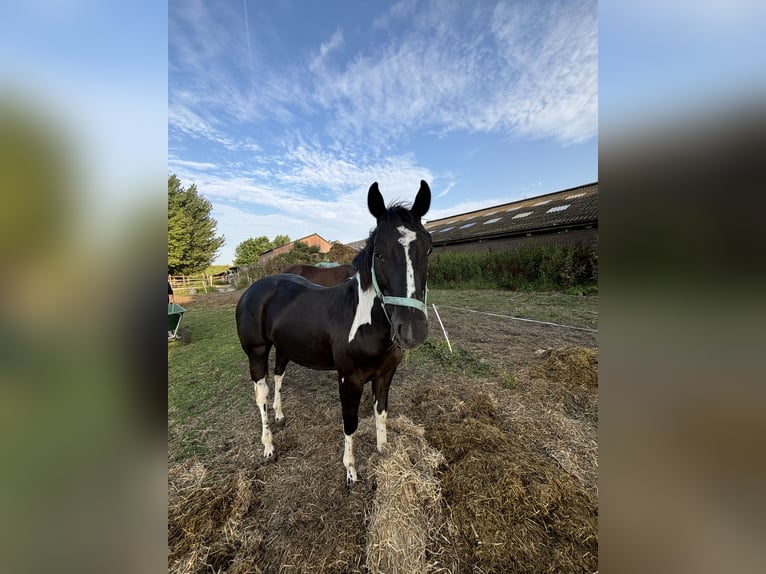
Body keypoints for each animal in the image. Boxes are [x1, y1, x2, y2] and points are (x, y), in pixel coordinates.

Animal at [236, 180, 432, 486]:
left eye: (428, 249)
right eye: (379, 253)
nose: (412, 330)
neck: (365, 322)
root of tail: (254, 288)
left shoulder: (385, 375)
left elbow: (381, 413)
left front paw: (384, 452)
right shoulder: (348, 380)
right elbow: (350, 423)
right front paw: (351, 471)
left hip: (285, 348)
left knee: (279, 377)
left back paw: (280, 415)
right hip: (256, 354)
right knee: (261, 396)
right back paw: (268, 446)